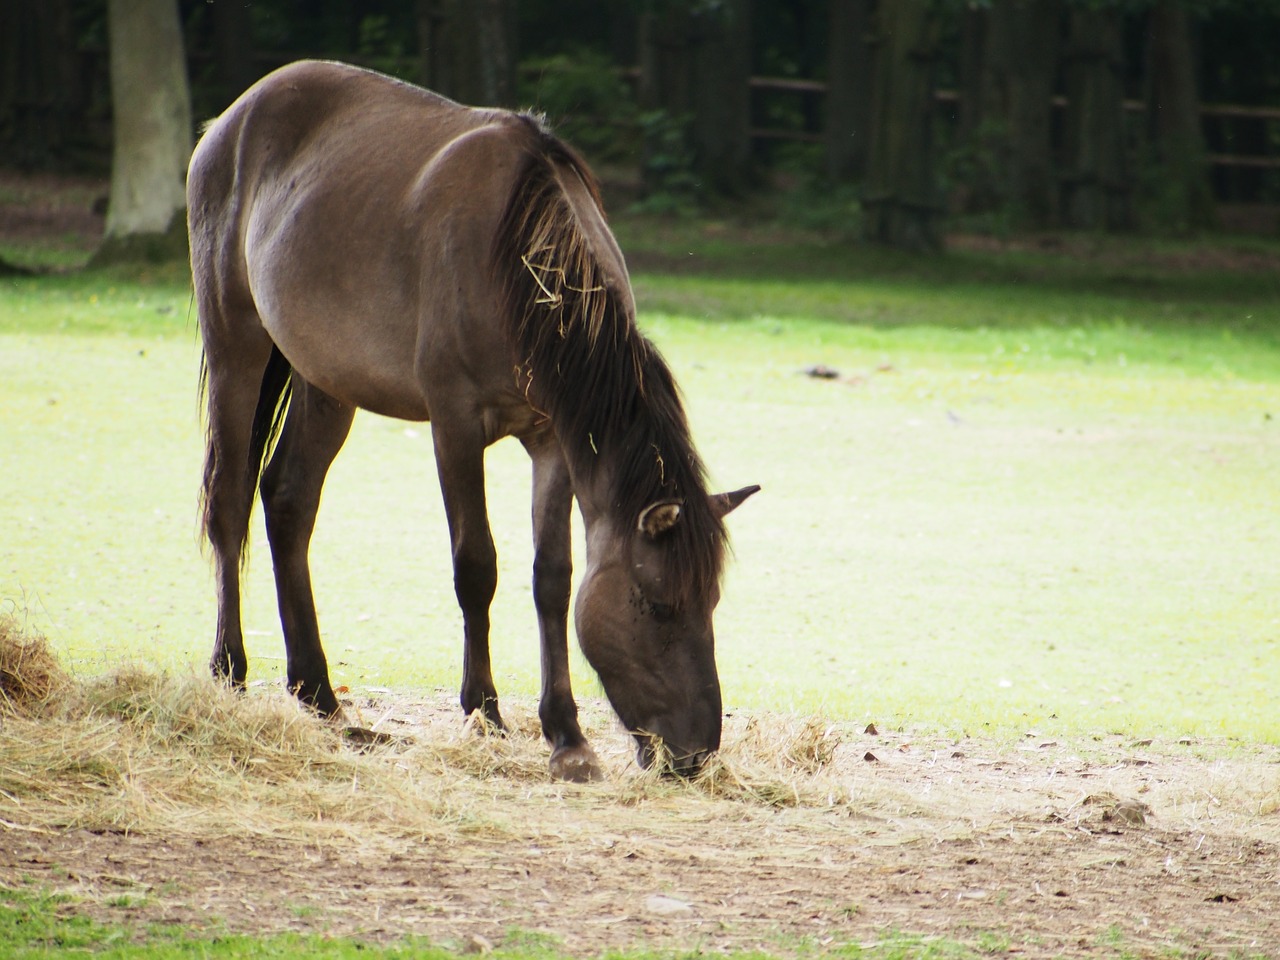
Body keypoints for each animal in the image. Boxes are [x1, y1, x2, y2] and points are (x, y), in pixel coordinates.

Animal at [185, 58, 752, 783]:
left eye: (711, 601)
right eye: (656, 604)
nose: (695, 752)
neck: (522, 267)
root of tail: (229, 119)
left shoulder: (553, 440)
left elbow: (553, 577)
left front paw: (566, 734)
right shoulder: (453, 424)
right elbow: (476, 565)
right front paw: (483, 710)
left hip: (326, 381)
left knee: (288, 500)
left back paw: (316, 690)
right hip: (238, 348)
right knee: (230, 503)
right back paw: (229, 671)